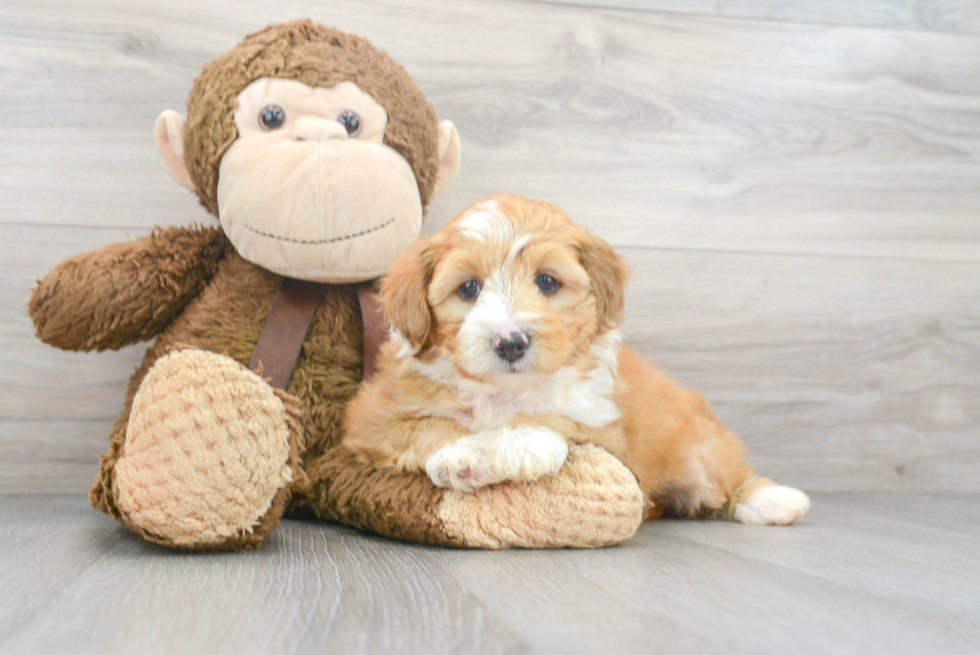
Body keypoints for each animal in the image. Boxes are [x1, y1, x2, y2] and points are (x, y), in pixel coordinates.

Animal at [344, 195, 812, 528]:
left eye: (547, 282)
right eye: (469, 288)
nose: (510, 343)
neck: (503, 393)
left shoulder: (605, 431)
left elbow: (557, 427)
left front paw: (514, 447)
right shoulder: (370, 421)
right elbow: (430, 424)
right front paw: (466, 454)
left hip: (700, 450)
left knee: (727, 478)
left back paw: (773, 501)